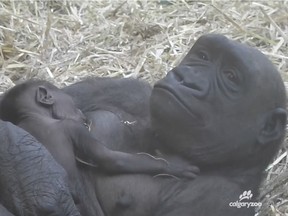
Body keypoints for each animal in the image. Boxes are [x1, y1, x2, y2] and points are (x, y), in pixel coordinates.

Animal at [0, 80, 198, 215]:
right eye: (73, 105)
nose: (80, 113)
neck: (34, 115)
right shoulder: (73, 127)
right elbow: (109, 158)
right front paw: (174, 166)